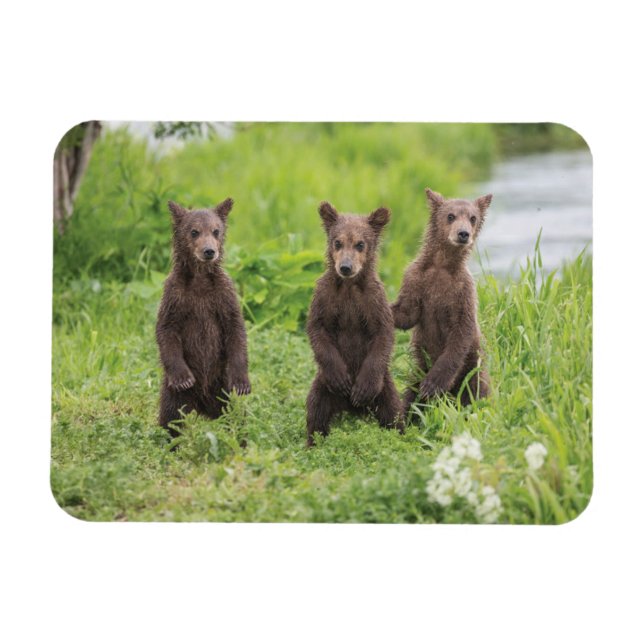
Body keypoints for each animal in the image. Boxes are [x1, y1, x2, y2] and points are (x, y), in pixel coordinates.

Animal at [156, 198, 250, 438]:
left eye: (216, 230)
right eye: (194, 231)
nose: (209, 251)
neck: (199, 279)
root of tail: (203, 407)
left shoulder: (222, 295)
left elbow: (236, 329)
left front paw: (242, 382)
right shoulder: (176, 296)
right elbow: (166, 330)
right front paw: (183, 378)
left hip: (222, 385)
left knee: (235, 414)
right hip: (175, 394)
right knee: (171, 418)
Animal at [305, 201, 403, 447]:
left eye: (360, 244)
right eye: (337, 242)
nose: (346, 267)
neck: (349, 286)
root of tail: (350, 409)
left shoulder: (374, 301)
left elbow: (383, 334)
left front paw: (361, 390)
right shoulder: (325, 297)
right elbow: (317, 329)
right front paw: (342, 379)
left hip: (385, 388)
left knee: (394, 413)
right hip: (322, 386)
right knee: (316, 412)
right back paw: (313, 443)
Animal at [391, 188, 493, 413]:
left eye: (473, 218)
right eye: (450, 216)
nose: (463, 233)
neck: (442, 264)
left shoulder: (462, 291)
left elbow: (460, 333)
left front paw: (433, 384)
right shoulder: (416, 280)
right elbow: (407, 313)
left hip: (472, 369)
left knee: (476, 391)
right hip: (418, 368)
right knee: (411, 395)